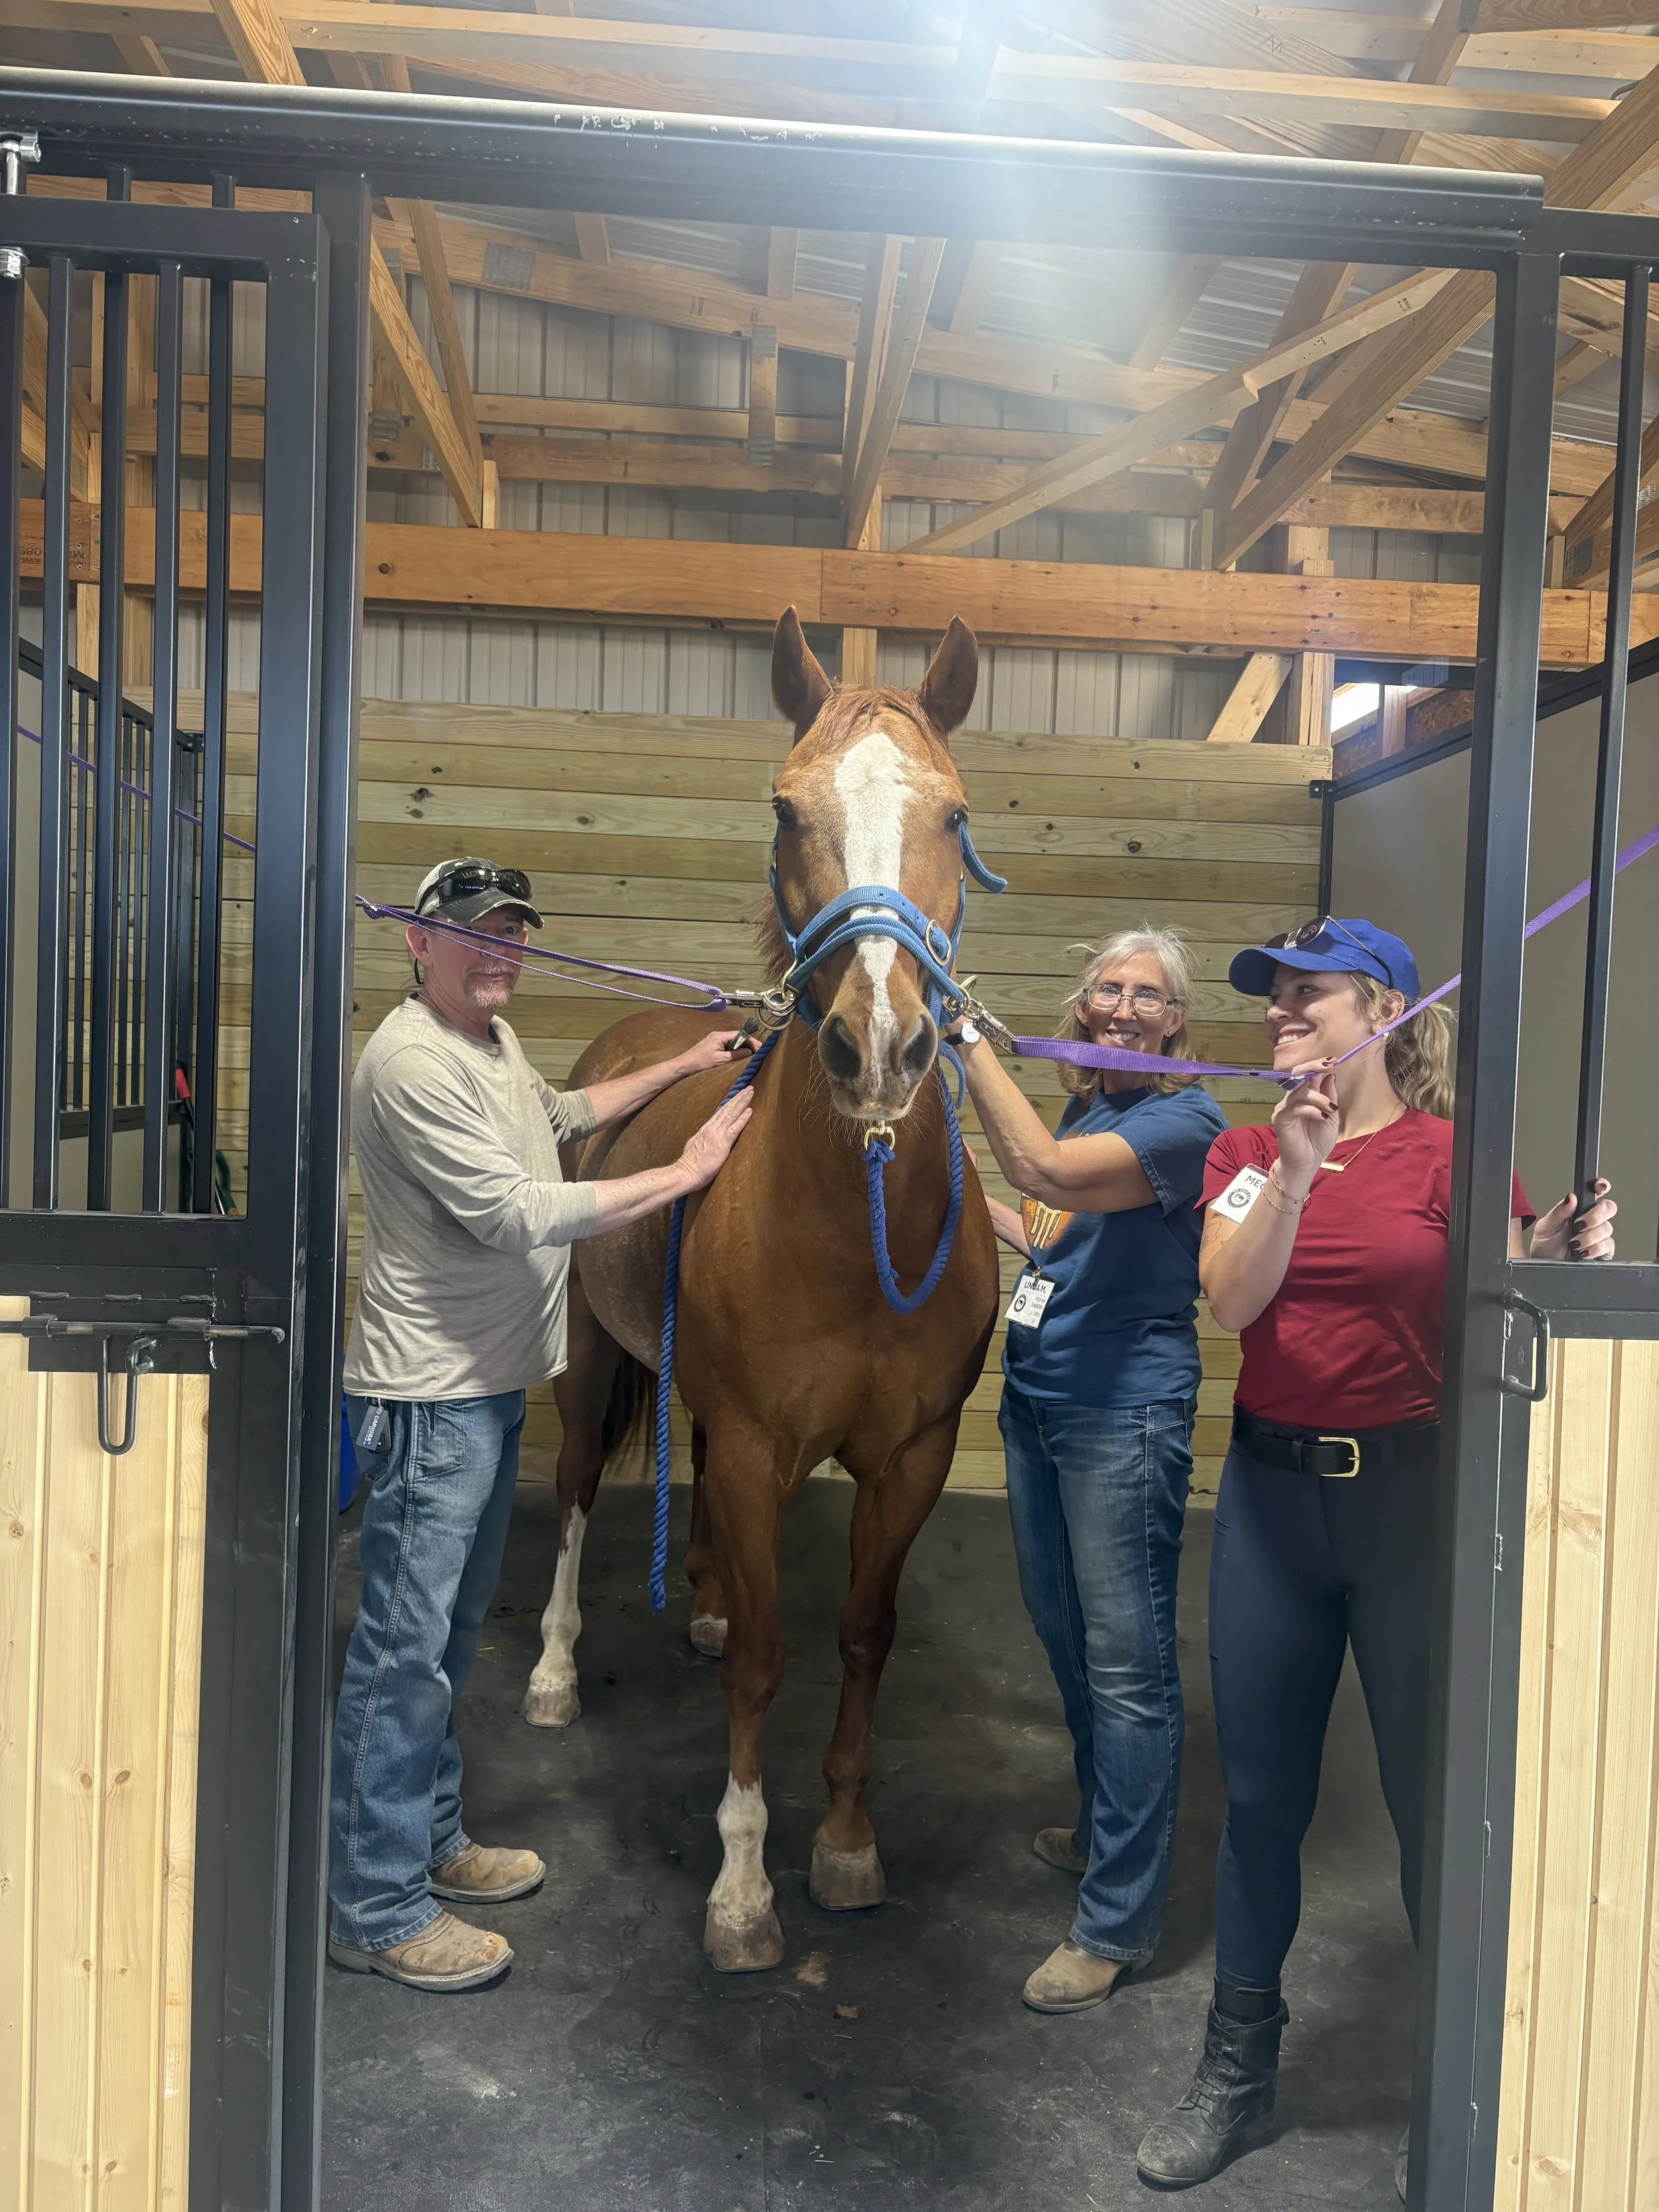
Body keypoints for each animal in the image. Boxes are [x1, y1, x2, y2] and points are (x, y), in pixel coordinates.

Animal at [520, 608, 1002, 1973]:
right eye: (785, 808)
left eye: (956, 813)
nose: (880, 1047)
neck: (853, 1226)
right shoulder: (747, 1445)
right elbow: (768, 1666)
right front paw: (742, 1888)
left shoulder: (910, 1454)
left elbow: (860, 1634)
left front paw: (844, 1841)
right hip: (591, 1363)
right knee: (572, 1494)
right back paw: (556, 1671)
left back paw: (707, 1605)